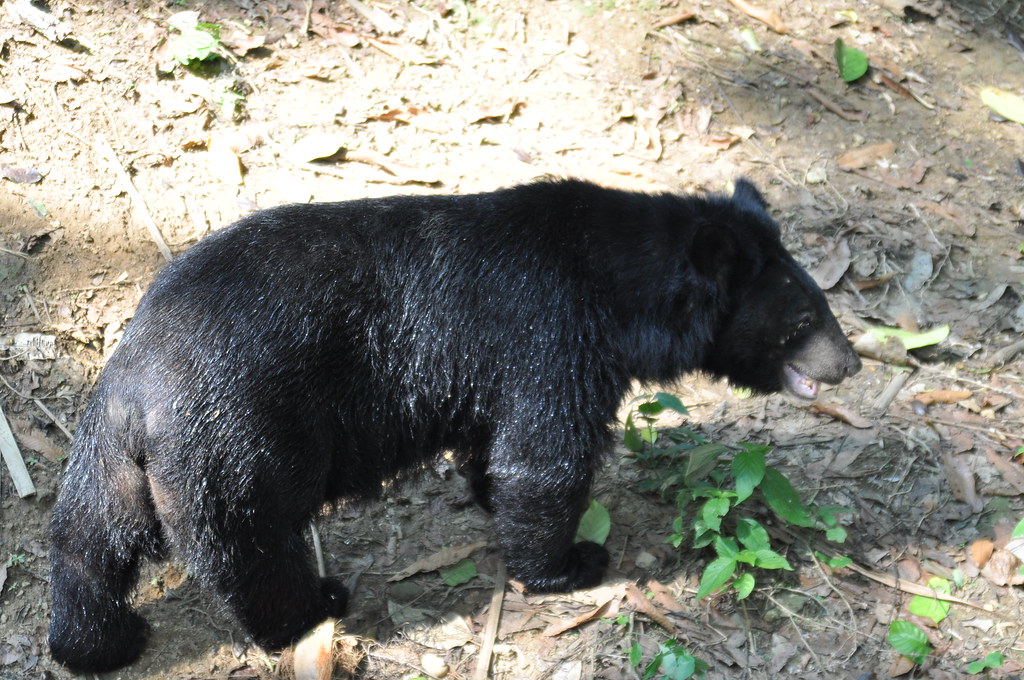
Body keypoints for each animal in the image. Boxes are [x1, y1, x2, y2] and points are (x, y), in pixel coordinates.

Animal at [48, 179, 860, 672]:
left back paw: (99, 642)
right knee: (248, 545)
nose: (851, 363)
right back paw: (313, 607)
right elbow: (545, 459)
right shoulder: (550, 335)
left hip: (115, 464)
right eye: (802, 320)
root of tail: (135, 386)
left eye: (821, 306)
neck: (619, 288)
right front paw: (571, 564)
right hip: (238, 437)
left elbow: (496, 448)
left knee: (89, 541)